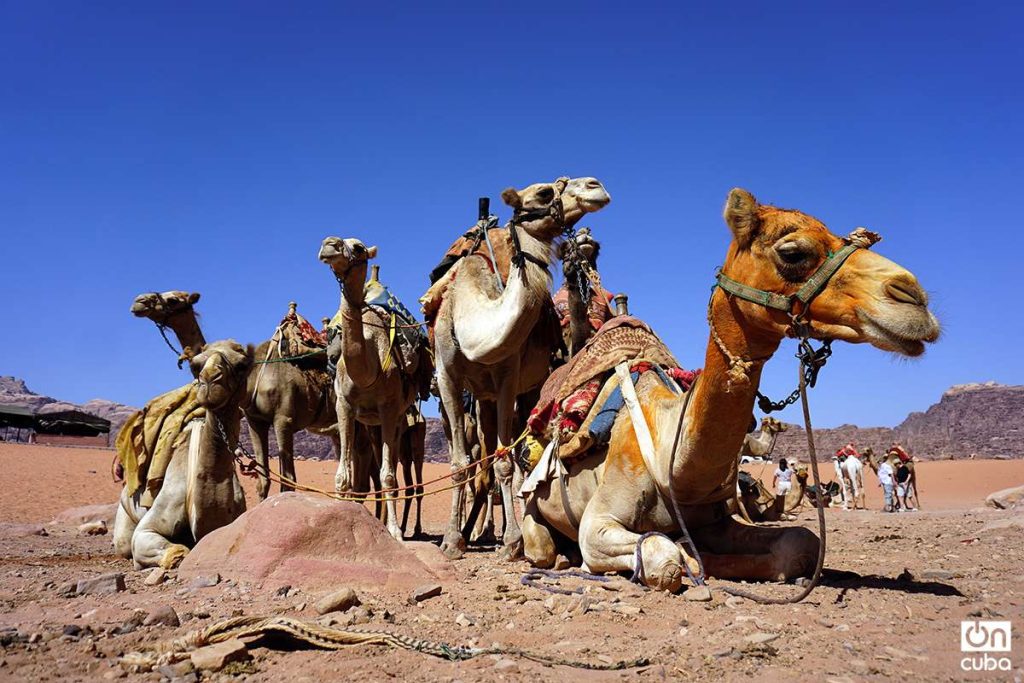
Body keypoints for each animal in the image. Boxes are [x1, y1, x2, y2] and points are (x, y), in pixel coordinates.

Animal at [113, 342, 250, 573]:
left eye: (242, 365)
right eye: (194, 366)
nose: (210, 379)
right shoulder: (147, 528)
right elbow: (175, 551)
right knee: (123, 542)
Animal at [319, 235, 432, 540]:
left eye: (358, 247)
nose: (328, 244)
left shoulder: (389, 408)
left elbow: (388, 475)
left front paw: (394, 531)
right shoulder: (344, 407)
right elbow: (342, 476)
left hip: (400, 423)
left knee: (401, 475)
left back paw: (404, 528)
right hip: (370, 424)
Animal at [430, 178, 610, 561]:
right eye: (544, 192)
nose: (596, 186)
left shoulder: (508, 377)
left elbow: (504, 462)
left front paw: (512, 543)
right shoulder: (448, 374)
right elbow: (458, 464)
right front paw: (452, 541)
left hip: (526, 388)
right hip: (480, 398)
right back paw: (471, 532)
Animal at [524, 188, 937, 593]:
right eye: (793, 253)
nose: (914, 297)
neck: (668, 448)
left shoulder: (715, 522)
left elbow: (801, 542)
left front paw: (710, 559)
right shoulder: (598, 521)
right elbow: (660, 554)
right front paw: (684, 558)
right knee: (540, 546)